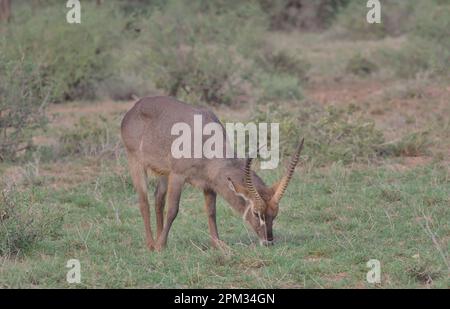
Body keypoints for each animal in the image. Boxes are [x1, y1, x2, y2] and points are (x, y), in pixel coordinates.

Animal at [119, 96, 304, 250]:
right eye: (256, 213)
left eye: (275, 214)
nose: (268, 241)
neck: (205, 140)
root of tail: (134, 108)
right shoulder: (178, 176)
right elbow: (173, 210)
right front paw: (160, 247)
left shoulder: (208, 184)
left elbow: (211, 212)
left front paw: (217, 243)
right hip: (136, 163)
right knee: (144, 202)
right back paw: (152, 243)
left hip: (164, 173)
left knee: (158, 199)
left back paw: (158, 237)